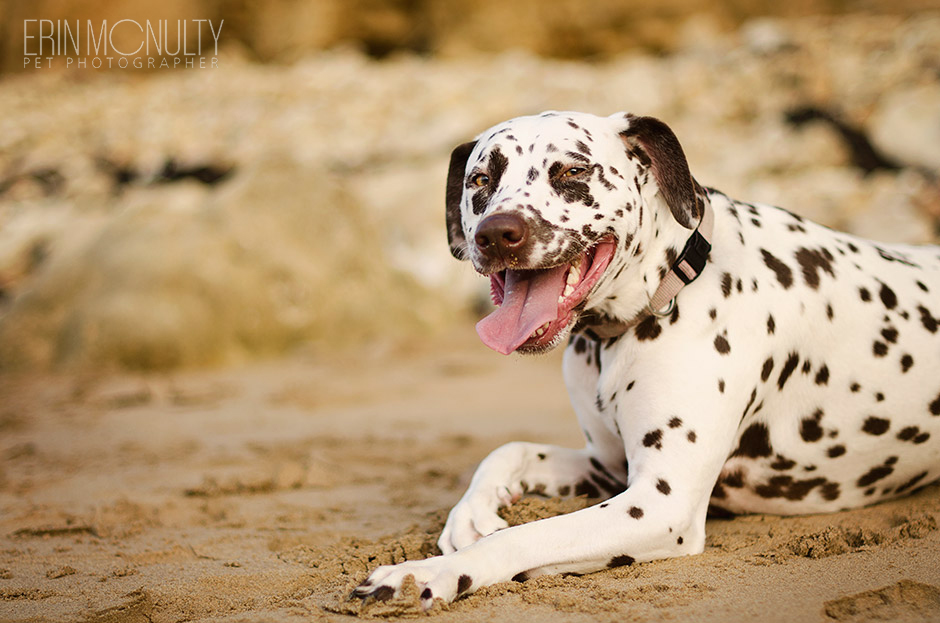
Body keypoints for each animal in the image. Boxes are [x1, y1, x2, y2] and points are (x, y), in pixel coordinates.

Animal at [350, 111, 940, 608]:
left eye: (572, 170)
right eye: (479, 180)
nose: (497, 232)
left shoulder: (659, 502)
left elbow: (524, 536)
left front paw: (426, 573)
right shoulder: (606, 465)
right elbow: (508, 450)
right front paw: (472, 510)